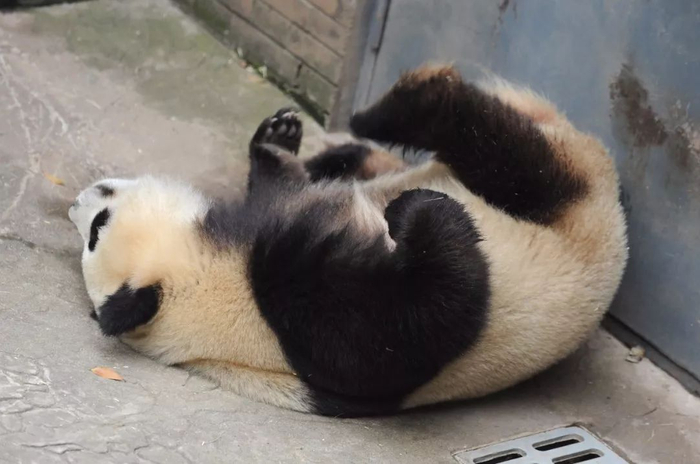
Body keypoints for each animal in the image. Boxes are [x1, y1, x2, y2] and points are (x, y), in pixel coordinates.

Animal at [68, 64, 628, 417]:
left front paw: (278, 138)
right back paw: (408, 101)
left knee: (386, 160)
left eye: (94, 228)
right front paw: (413, 213)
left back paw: (341, 145)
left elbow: (283, 182)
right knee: (502, 151)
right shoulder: (303, 314)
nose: (78, 201)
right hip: (563, 203)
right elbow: (432, 312)